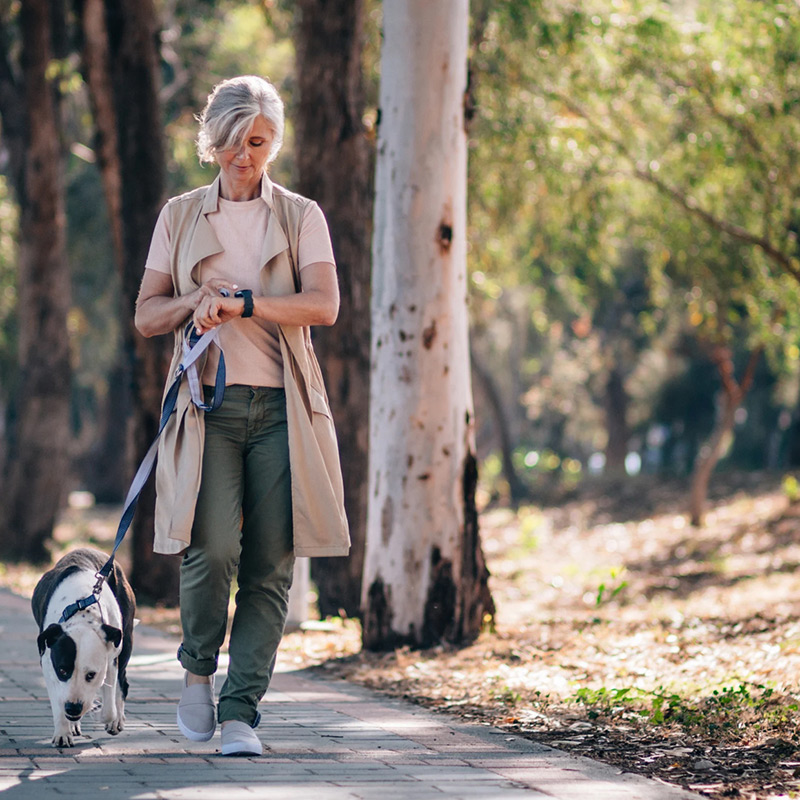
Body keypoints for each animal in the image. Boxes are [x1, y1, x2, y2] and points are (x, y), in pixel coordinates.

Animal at [31, 548, 136, 748]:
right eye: (62, 670)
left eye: (91, 675)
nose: (73, 707)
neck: (82, 612)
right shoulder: (48, 665)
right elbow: (58, 701)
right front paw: (63, 733)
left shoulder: (110, 660)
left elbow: (109, 708)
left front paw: (100, 714)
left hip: (125, 643)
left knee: (122, 683)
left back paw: (116, 720)